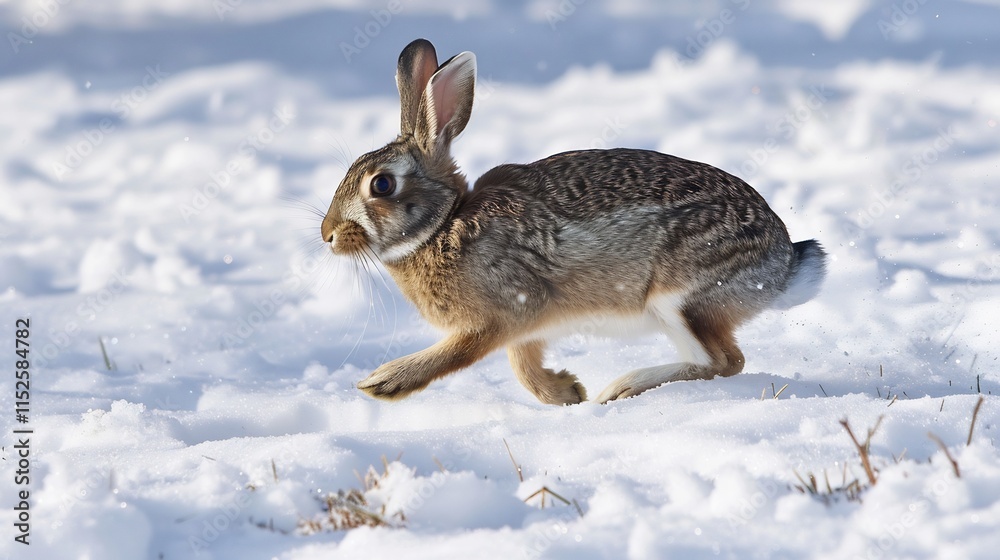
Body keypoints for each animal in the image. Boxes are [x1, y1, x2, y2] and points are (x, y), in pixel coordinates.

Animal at [321, 38, 827, 405]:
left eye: (381, 185)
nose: (327, 235)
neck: (445, 225)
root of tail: (784, 263)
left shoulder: (505, 311)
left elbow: (466, 352)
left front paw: (385, 382)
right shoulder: (528, 329)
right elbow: (522, 366)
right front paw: (566, 392)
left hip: (681, 296)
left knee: (724, 361)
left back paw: (622, 388)